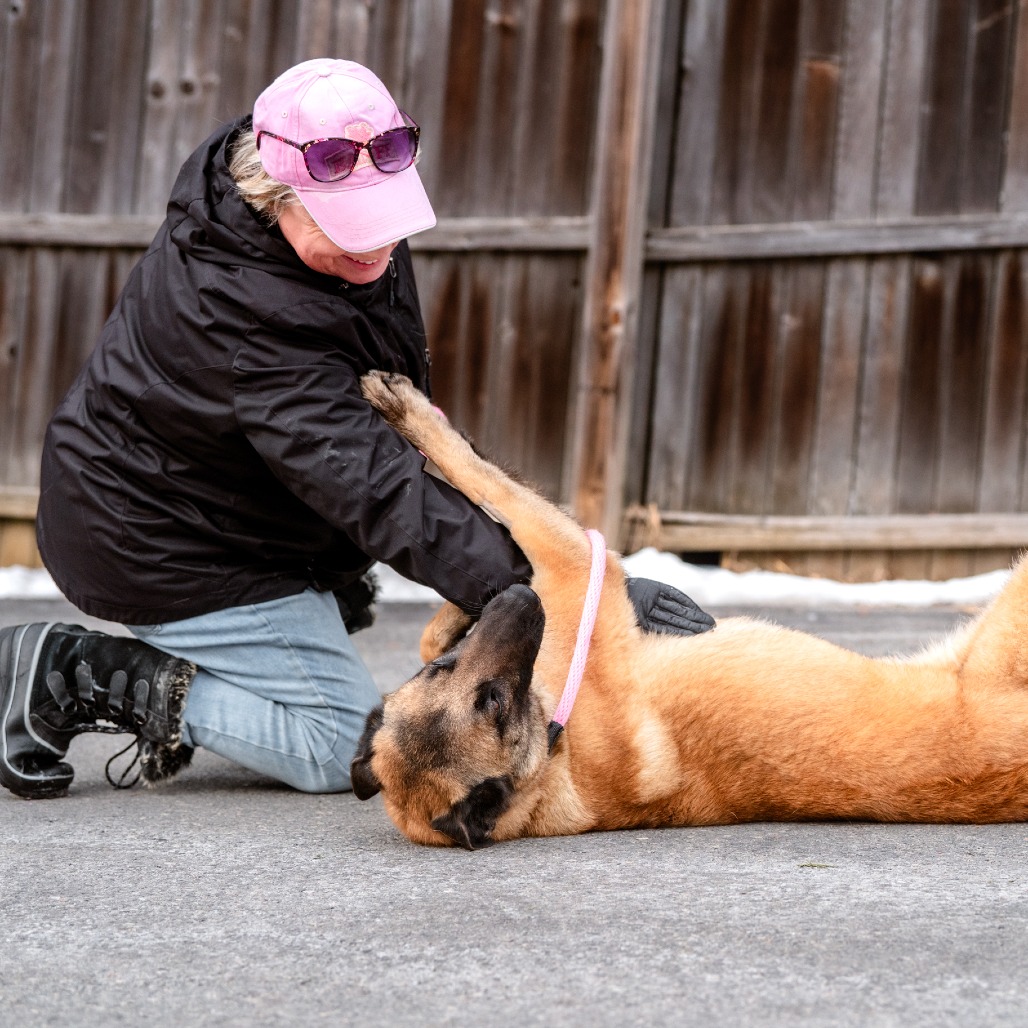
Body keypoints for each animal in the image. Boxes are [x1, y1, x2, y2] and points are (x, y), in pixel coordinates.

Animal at [351, 370, 1028, 849]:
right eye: (489, 702)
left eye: (444, 676)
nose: (520, 597)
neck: (552, 759)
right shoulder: (577, 570)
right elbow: (492, 484)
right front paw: (414, 416)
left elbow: (461, 573)